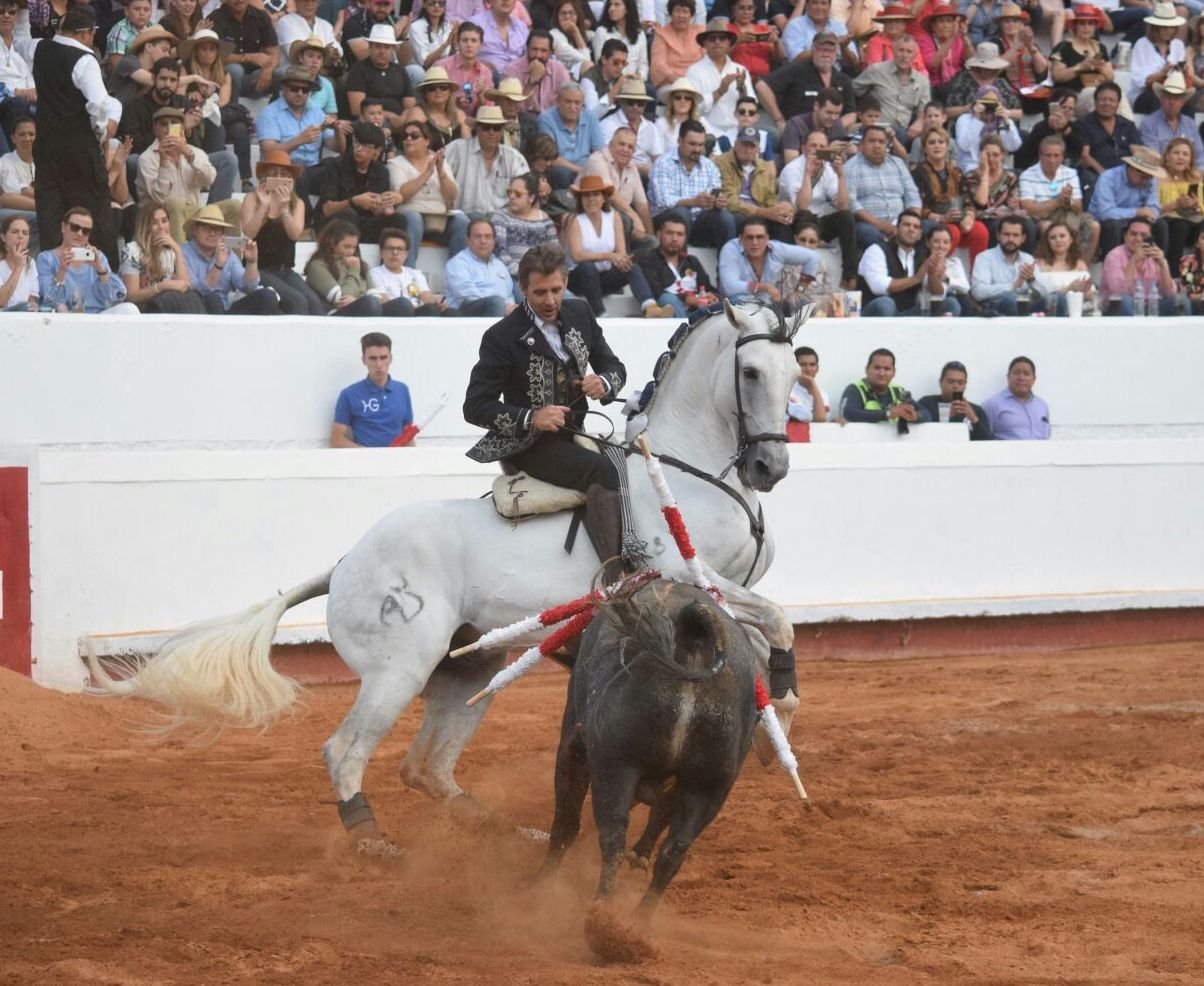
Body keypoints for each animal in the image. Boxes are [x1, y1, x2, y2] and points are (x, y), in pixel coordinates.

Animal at [86, 300, 809, 840]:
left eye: (793, 371)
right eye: (750, 371)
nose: (770, 468)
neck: (695, 470)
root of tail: (346, 563)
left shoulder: (725, 594)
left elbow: (762, 633)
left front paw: (773, 725)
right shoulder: (685, 576)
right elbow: (776, 621)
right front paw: (782, 710)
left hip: (472, 668)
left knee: (426, 767)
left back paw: (506, 833)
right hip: (398, 670)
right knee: (346, 751)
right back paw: (374, 842)